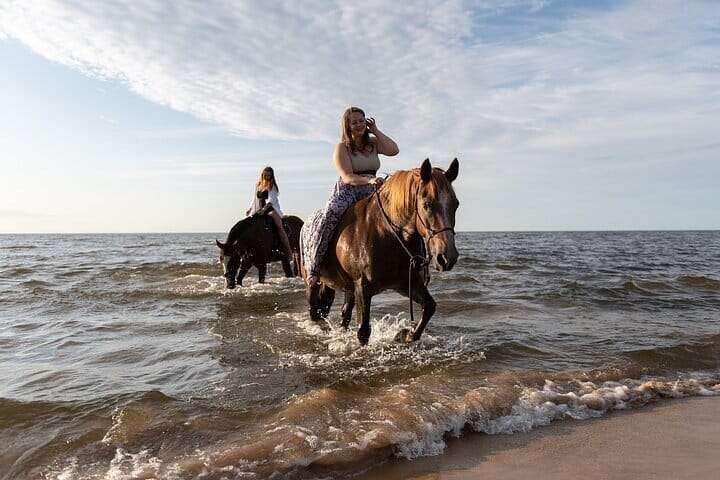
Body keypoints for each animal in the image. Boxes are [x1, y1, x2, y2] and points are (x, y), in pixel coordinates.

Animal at [301, 158, 459, 345]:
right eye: (426, 205)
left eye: (456, 205)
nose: (447, 258)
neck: (386, 233)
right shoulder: (363, 286)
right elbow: (363, 331)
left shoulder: (407, 284)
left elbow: (429, 307)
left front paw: (406, 334)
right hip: (314, 284)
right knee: (315, 311)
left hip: (347, 288)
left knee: (343, 313)